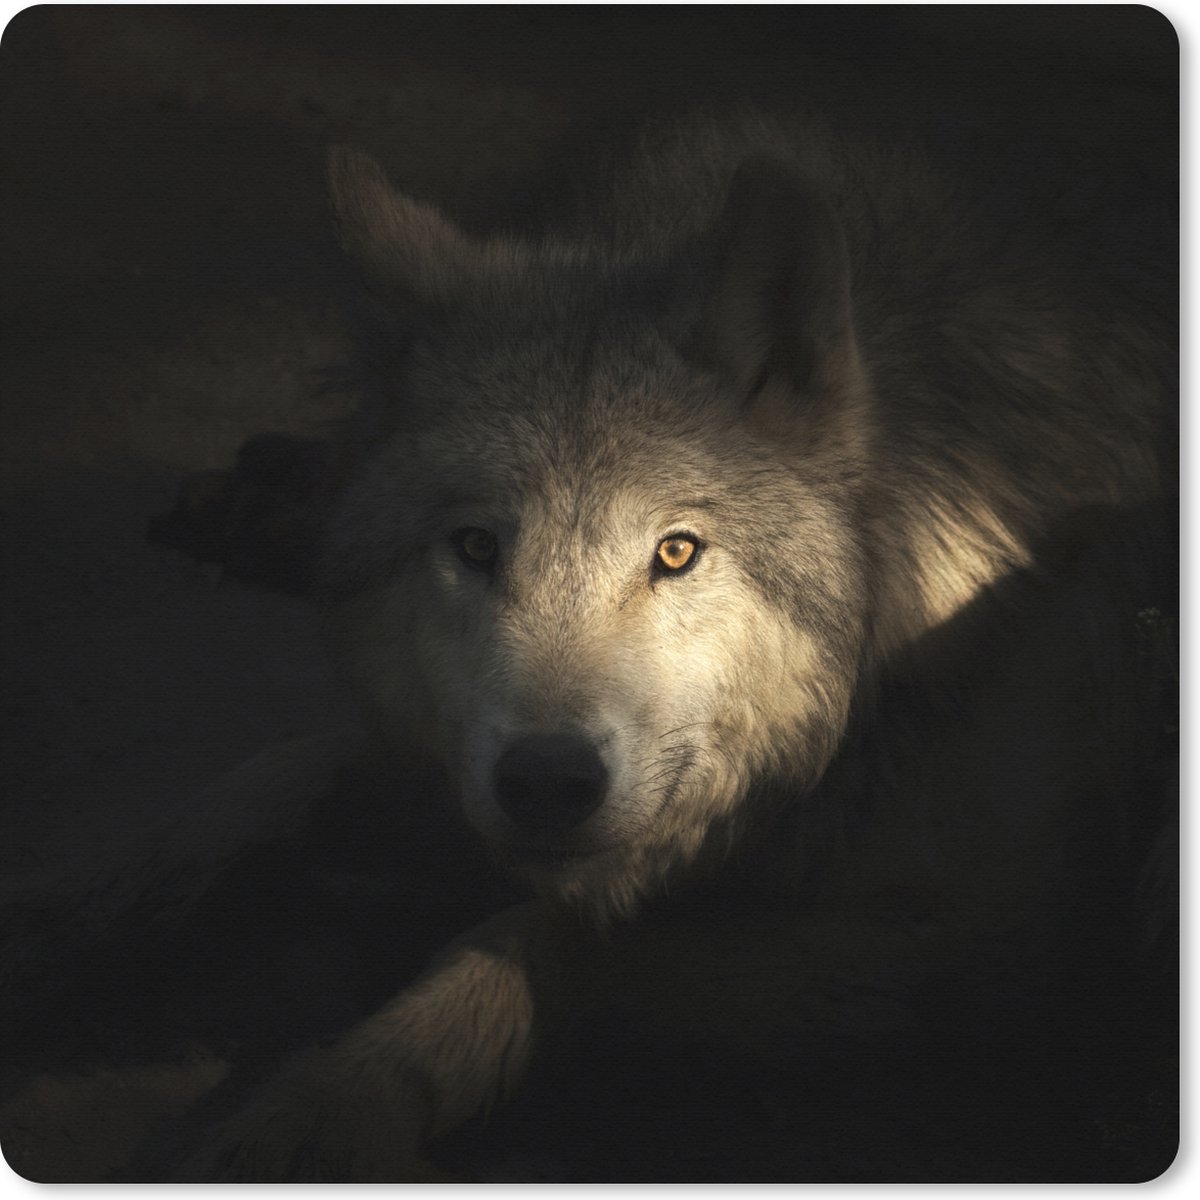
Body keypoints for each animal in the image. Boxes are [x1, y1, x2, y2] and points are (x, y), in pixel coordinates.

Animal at [112, 105, 1173, 1179]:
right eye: (476, 546)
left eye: (675, 551)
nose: (546, 781)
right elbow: (314, 762)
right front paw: (148, 872)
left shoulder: (963, 937)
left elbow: (541, 937)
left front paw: (334, 1100)